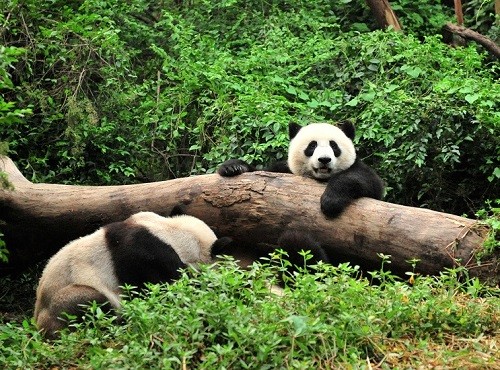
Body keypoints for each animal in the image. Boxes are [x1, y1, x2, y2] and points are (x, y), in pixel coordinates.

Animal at [217, 121, 384, 218]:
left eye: (334, 146)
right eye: (312, 145)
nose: (324, 159)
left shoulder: (359, 169)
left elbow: (365, 180)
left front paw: (331, 201)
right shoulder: (285, 170)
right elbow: (263, 171)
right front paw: (233, 167)